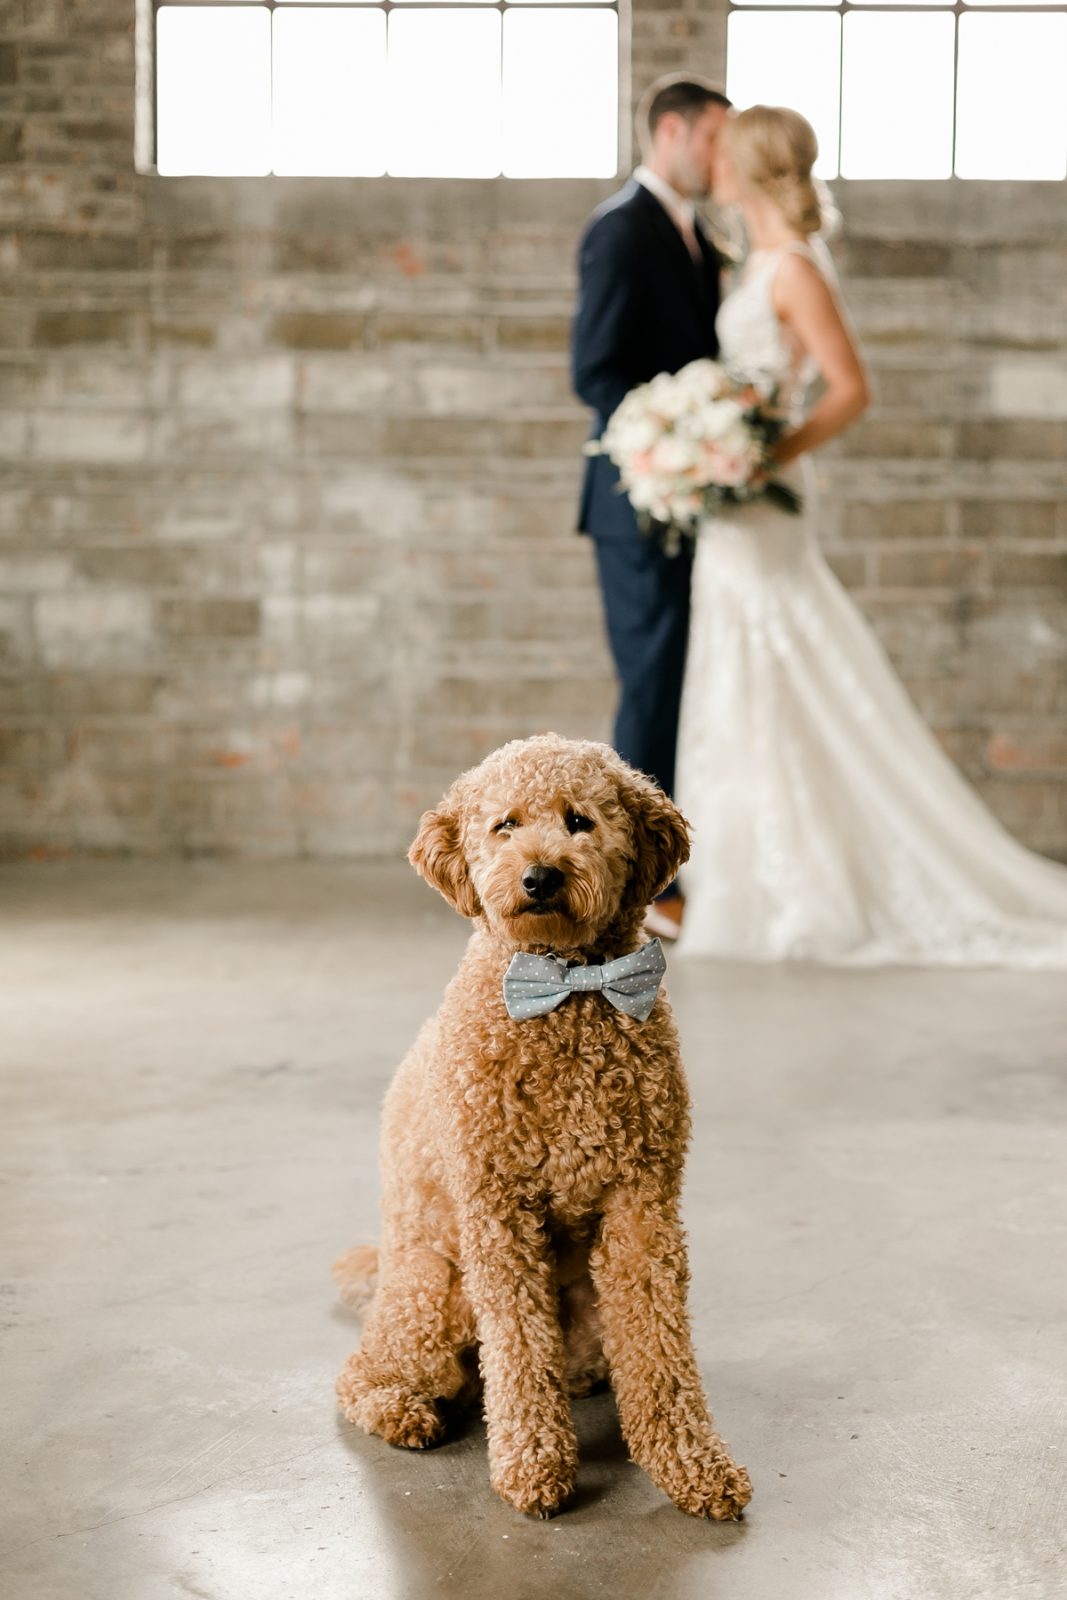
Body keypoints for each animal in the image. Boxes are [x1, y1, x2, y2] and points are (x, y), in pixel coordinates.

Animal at [334, 732, 751, 1516]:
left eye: (579, 822)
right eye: (505, 825)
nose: (538, 876)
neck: (570, 989)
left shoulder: (643, 1206)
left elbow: (660, 1349)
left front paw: (692, 1464)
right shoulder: (499, 1214)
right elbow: (519, 1348)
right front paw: (532, 1466)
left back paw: (583, 1376)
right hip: (436, 1289)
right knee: (366, 1374)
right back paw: (405, 1411)